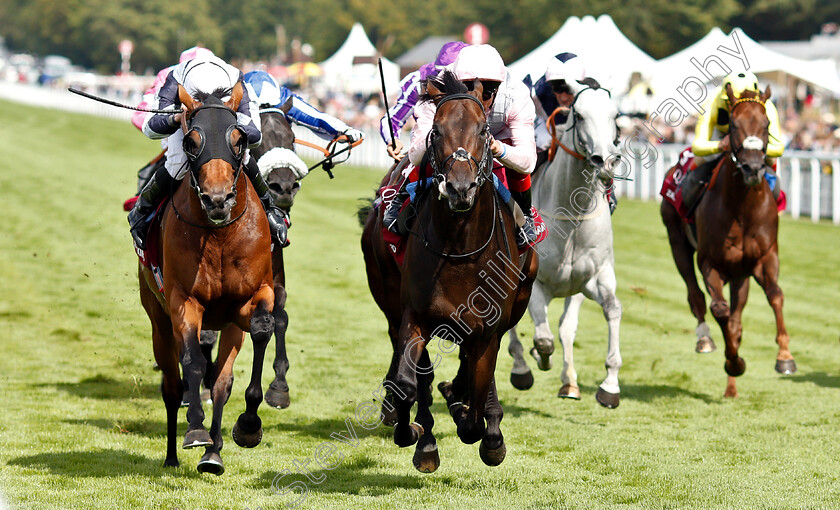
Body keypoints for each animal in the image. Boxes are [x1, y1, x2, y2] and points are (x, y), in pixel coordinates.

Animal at [139, 81, 274, 476]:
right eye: (191, 140)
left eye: (239, 138)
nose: (218, 199)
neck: (219, 236)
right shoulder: (184, 302)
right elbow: (195, 363)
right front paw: (196, 430)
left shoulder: (250, 300)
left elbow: (261, 331)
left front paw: (248, 426)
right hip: (158, 320)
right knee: (172, 386)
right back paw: (173, 453)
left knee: (221, 384)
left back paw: (213, 454)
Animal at [360, 69, 540, 472]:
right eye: (436, 130)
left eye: (484, 130)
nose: (459, 188)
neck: (460, 250)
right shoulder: (416, 316)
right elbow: (411, 383)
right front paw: (414, 433)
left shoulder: (489, 327)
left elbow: (476, 395)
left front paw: (485, 431)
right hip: (387, 295)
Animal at [506, 78, 624, 406]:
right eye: (580, 115)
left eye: (615, 116)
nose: (605, 161)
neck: (572, 217)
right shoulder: (534, 283)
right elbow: (543, 338)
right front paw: (536, 356)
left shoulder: (594, 278)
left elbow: (611, 310)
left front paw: (609, 385)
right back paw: (521, 367)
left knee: (566, 328)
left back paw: (569, 381)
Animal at [664, 84, 796, 398]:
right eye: (733, 125)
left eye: (767, 124)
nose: (752, 168)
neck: (742, 208)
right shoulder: (710, 262)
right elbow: (719, 309)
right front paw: (734, 362)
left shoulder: (764, 258)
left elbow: (775, 295)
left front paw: (785, 358)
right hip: (677, 242)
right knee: (696, 296)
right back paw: (705, 341)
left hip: (740, 275)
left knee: (736, 319)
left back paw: (731, 388)